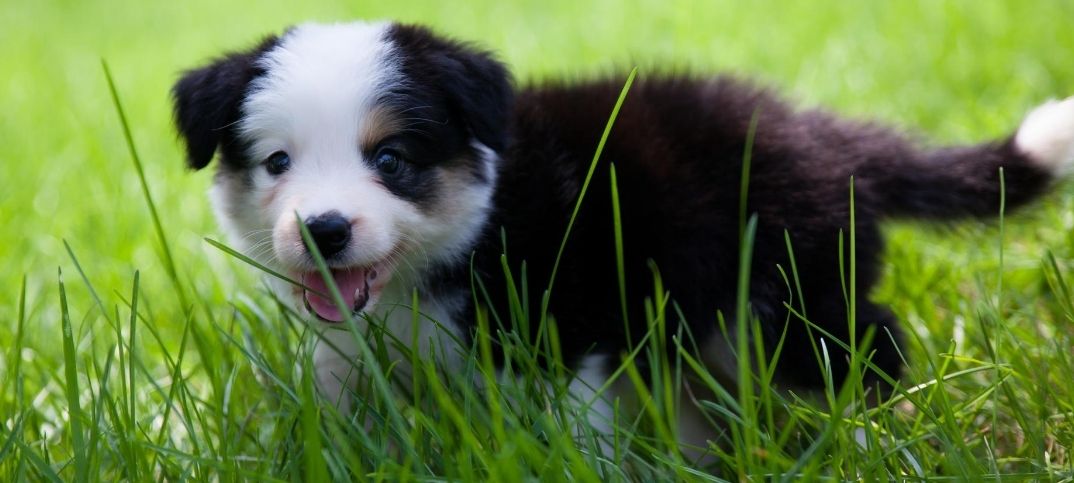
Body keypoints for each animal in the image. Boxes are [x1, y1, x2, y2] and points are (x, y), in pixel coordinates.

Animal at [169, 19, 1074, 457]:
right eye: (277, 161)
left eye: (390, 159)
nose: (323, 230)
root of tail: (825, 135)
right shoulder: (347, 355)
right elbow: (337, 409)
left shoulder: (568, 329)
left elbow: (579, 430)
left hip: (778, 300)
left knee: (869, 345)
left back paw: (876, 434)